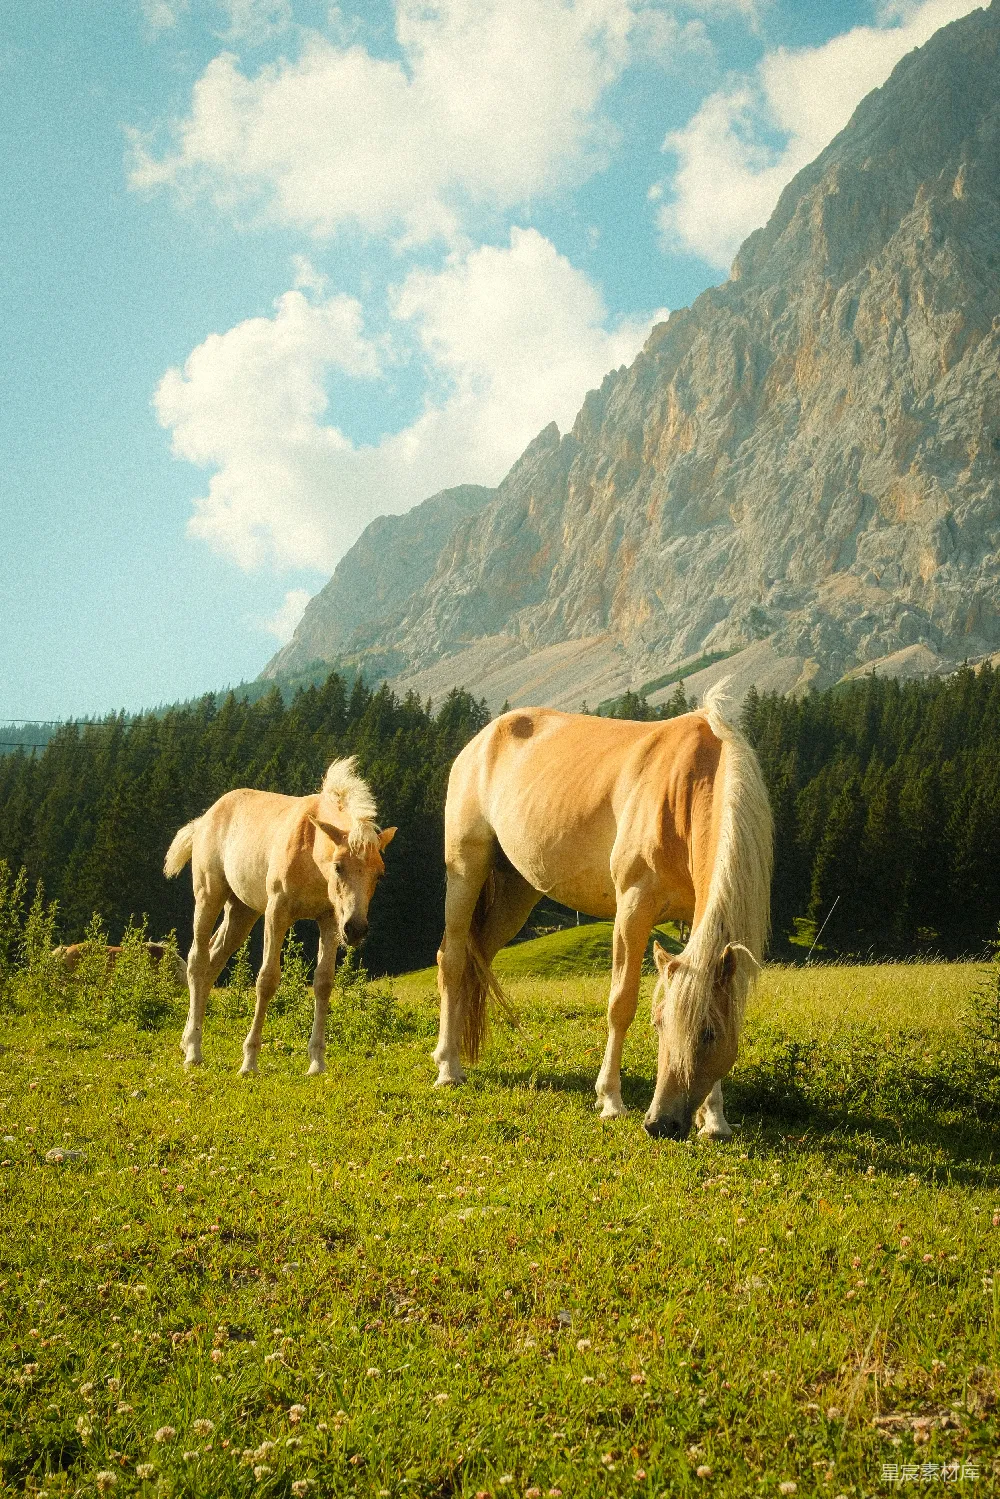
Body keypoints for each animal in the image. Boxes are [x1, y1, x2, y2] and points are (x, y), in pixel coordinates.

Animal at [163, 757, 396, 1075]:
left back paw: (187, 1040)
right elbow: (267, 980)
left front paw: (317, 1063)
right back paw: (193, 1052)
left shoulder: (330, 920)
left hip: (242, 910)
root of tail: (204, 819)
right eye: (338, 867)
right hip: (209, 895)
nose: (356, 929)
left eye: (379, 874)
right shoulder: (277, 913)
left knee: (213, 960)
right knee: (198, 962)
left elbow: (323, 983)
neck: (311, 852)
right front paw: (249, 1062)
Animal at [432, 681, 772, 1139]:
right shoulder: (633, 908)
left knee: (476, 960)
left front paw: (715, 1119)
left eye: (709, 1034)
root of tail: (482, 740)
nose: (660, 1124)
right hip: (466, 869)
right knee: (451, 959)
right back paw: (448, 1068)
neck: (687, 785)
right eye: (658, 1022)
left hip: (515, 893)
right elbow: (620, 1003)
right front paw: (610, 1099)